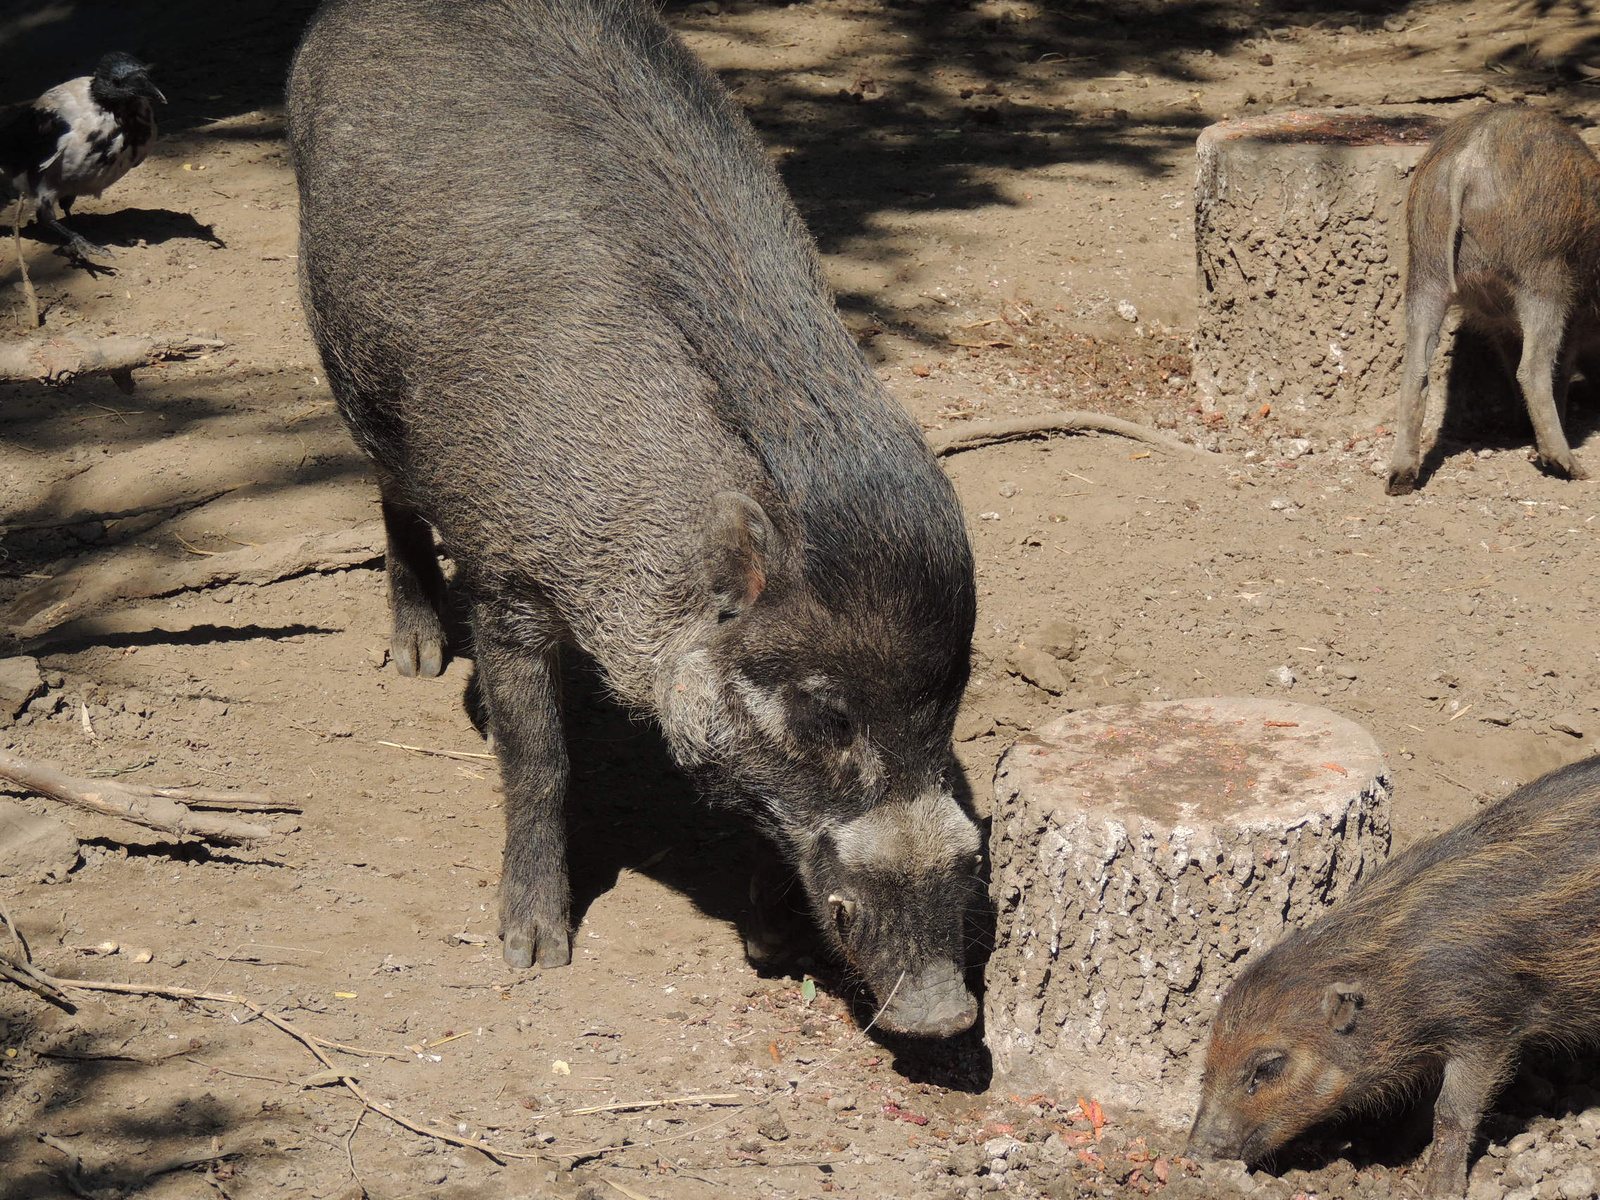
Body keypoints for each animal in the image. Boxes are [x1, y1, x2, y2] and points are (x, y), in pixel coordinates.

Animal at [289, 0, 985, 1043]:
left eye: (951, 704)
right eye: (823, 712)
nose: (944, 1013)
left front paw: (769, 951)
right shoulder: (508, 575)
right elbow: (540, 763)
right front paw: (534, 955)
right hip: (347, 357)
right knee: (391, 492)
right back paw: (414, 658)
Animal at [1196, 761, 1600, 1196]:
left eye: (1268, 1067)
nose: (1193, 1155)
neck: (1398, 975)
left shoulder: (1489, 1025)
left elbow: (1452, 1112)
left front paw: (1440, 1189)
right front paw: (1393, 1150)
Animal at [1382, 105, 1593, 496]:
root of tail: (1466, 163)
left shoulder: (1499, 322)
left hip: (1425, 266)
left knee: (1415, 370)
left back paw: (1400, 480)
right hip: (1542, 273)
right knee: (1533, 369)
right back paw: (1571, 468)